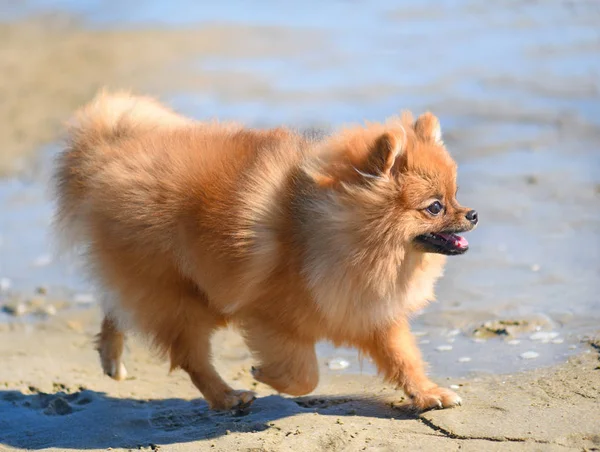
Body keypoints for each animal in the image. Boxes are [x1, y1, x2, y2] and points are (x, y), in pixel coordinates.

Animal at [55, 92, 478, 414]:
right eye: (435, 207)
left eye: (456, 194)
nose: (472, 214)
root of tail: (108, 157)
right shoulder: (270, 318)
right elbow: (305, 377)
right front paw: (265, 374)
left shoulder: (373, 312)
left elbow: (404, 358)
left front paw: (427, 394)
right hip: (183, 300)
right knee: (190, 356)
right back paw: (226, 397)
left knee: (117, 305)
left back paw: (111, 357)